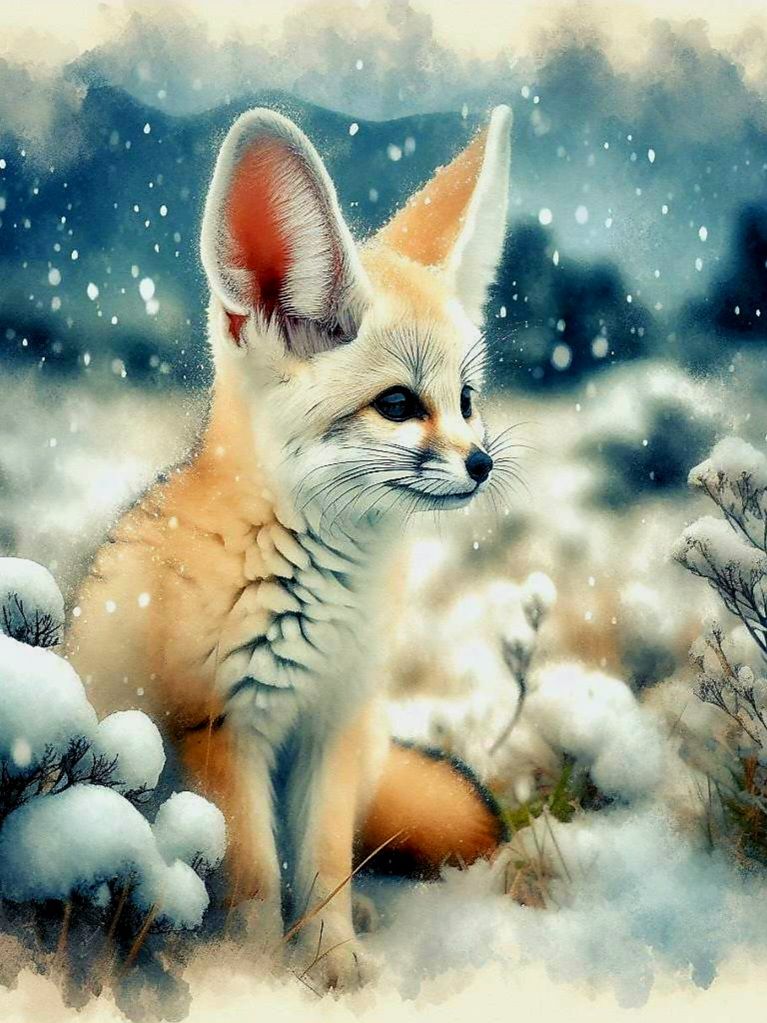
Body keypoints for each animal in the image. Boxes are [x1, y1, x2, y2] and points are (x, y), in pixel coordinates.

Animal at [65, 103, 514, 989]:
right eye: (398, 405)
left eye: (465, 400)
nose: (481, 463)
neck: (325, 594)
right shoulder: (222, 727)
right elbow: (255, 877)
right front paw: (256, 975)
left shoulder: (331, 724)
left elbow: (324, 863)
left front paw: (335, 961)